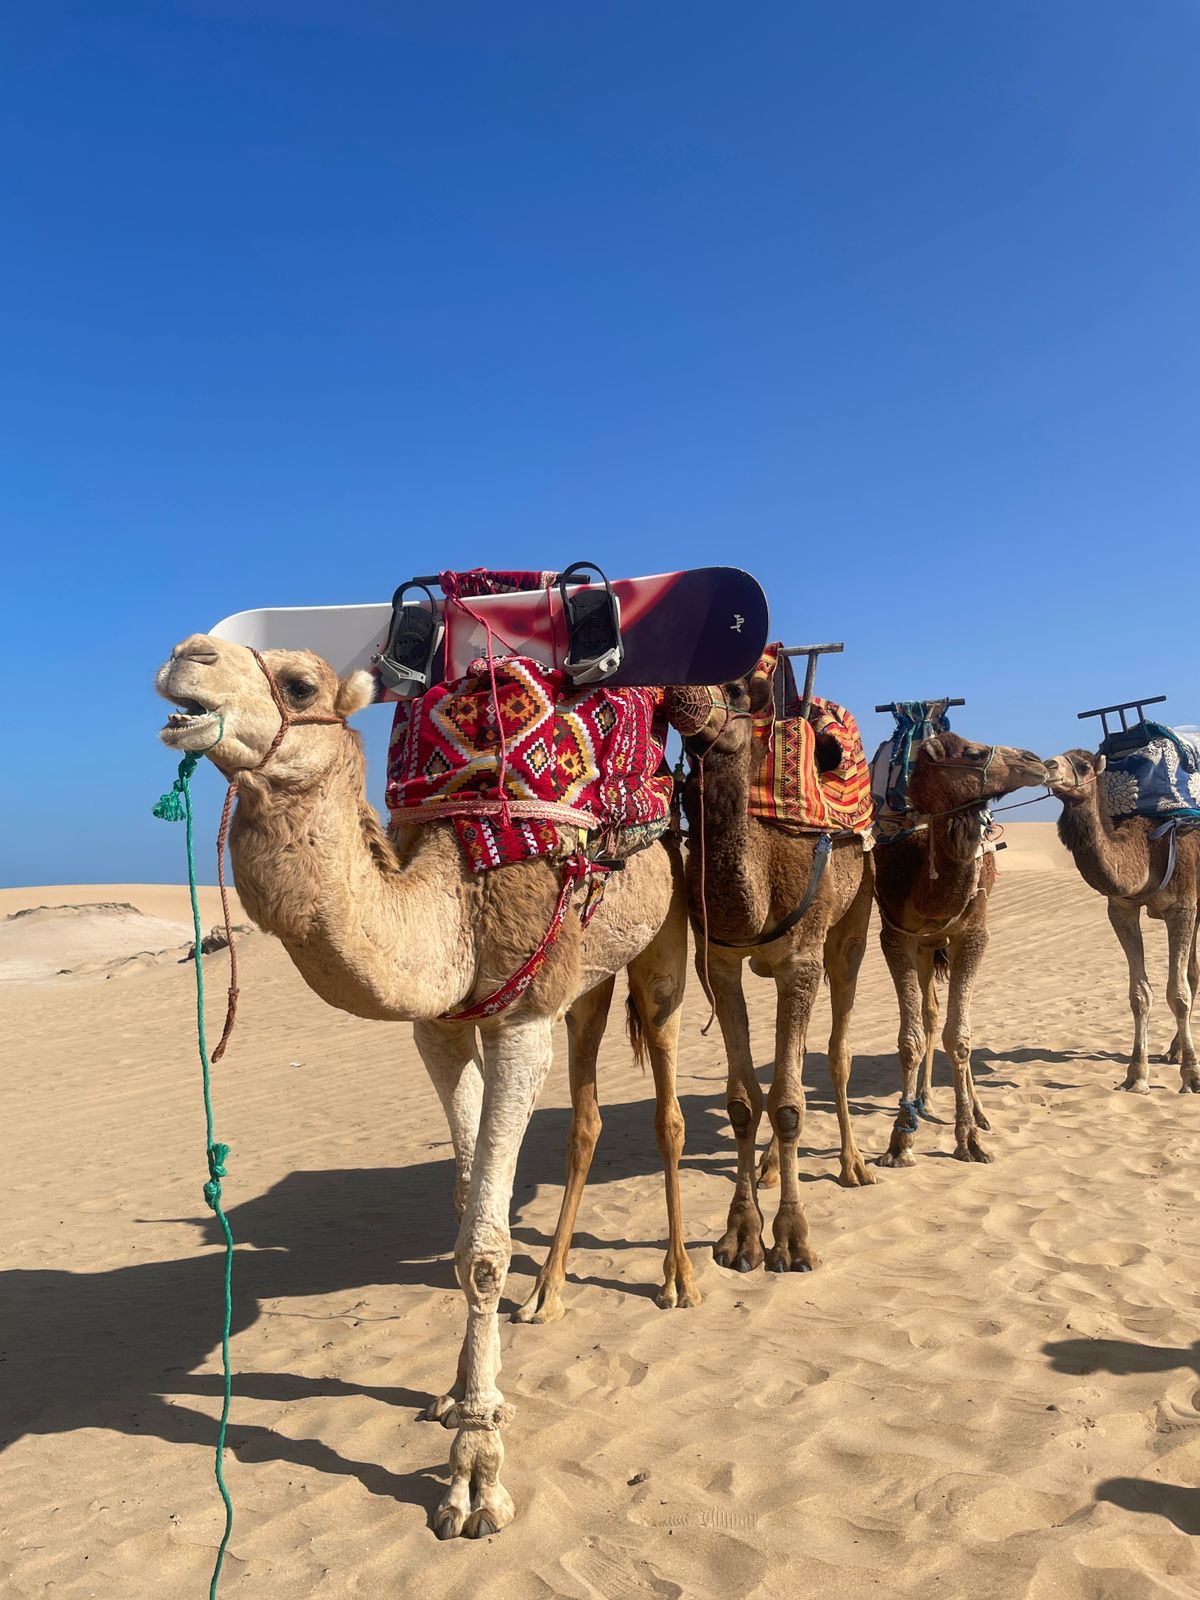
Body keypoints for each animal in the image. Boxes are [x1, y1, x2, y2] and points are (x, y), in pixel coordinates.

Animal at [156, 634, 699, 1540]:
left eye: (299, 684)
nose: (183, 656)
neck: (456, 891)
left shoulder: (520, 1020)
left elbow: (484, 1246)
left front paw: (475, 1476)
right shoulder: (440, 1027)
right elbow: (462, 1207)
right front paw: (456, 1396)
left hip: (667, 943)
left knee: (668, 1107)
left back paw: (683, 1278)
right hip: (584, 980)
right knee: (587, 1112)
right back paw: (549, 1297)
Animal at [671, 673, 876, 1276]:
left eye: (738, 692)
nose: (681, 697)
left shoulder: (801, 960)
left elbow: (787, 1105)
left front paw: (791, 1240)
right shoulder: (717, 961)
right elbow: (744, 1101)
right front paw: (741, 1237)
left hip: (852, 921)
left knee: (836, 1048)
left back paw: (855, 1164)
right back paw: (767, 1168)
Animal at [873, 732, 1047, 1166]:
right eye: (972, 752)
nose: (1036, 761)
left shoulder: (973, 935)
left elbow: (961, 1037)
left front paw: (968, 1136)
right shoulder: (895, 937)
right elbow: (911, 1039)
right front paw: (899, 1141)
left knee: (956, 1022)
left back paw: (979, 1112)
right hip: (925, 948)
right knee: (931, 1014)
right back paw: (924, 1100)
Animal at [1044, 749, 1199, 1093]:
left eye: (1083, 765)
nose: (1048, 766)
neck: (1146, 853)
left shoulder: (1183, 907)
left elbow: (1178, 993)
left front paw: (1192, 1077)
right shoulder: (1121, 909)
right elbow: (1139, 994)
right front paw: (1137, 1075)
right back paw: (1173, 1051)